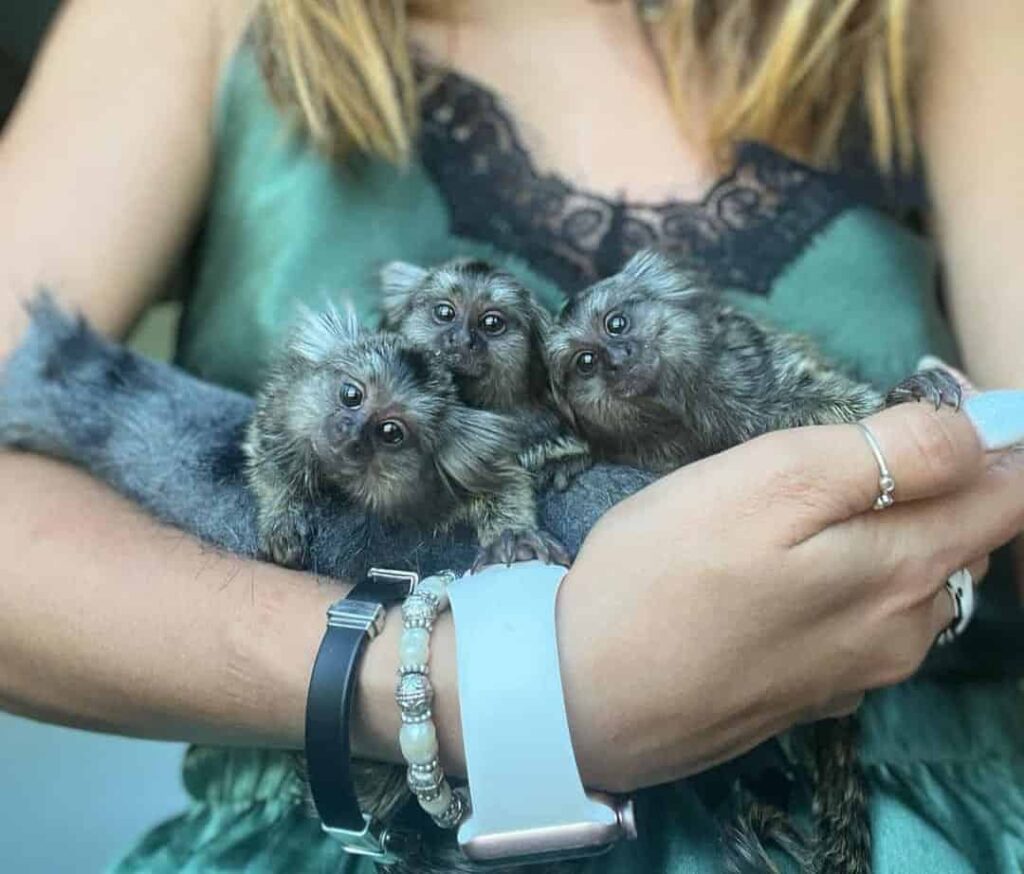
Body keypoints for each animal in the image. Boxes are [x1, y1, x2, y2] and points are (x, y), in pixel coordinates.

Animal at [243, 305, 568, 571]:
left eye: (391, 433)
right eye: (351, 395)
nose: (349, 431)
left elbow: (504, 483)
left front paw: (512, 535)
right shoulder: (282, 414)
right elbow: (269, 458)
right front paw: (282, 518)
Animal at [546, 248, 962, 874]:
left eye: (617, 324)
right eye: (585, 362)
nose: (618, 362)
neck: (686, 417)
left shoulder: (761, 372)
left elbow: (828, 401)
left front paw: (901, 393)